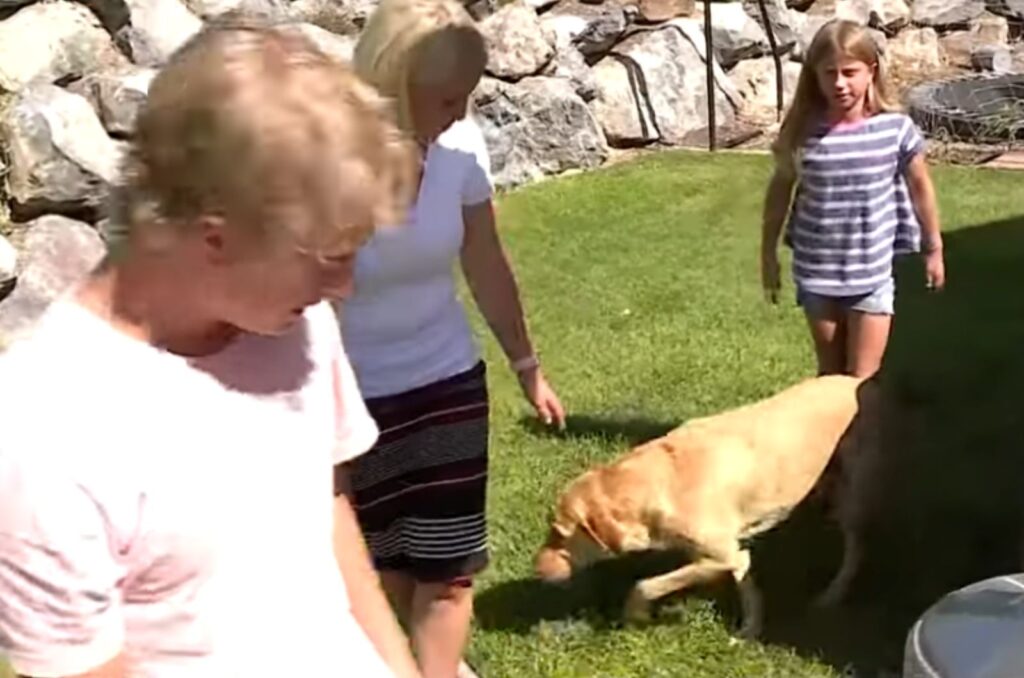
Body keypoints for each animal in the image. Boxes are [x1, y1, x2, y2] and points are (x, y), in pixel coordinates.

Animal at [536, 376, 880, 639]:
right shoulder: (727, 556)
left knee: (857, 548)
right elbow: (742, 584)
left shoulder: (724, 554)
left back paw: (832, 594)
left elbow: (645, 585)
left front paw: (636, 613)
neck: (663, 480)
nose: (536, 569)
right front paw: (749, 628)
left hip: (854, 494)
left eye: (560, 533)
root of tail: (859, 380)